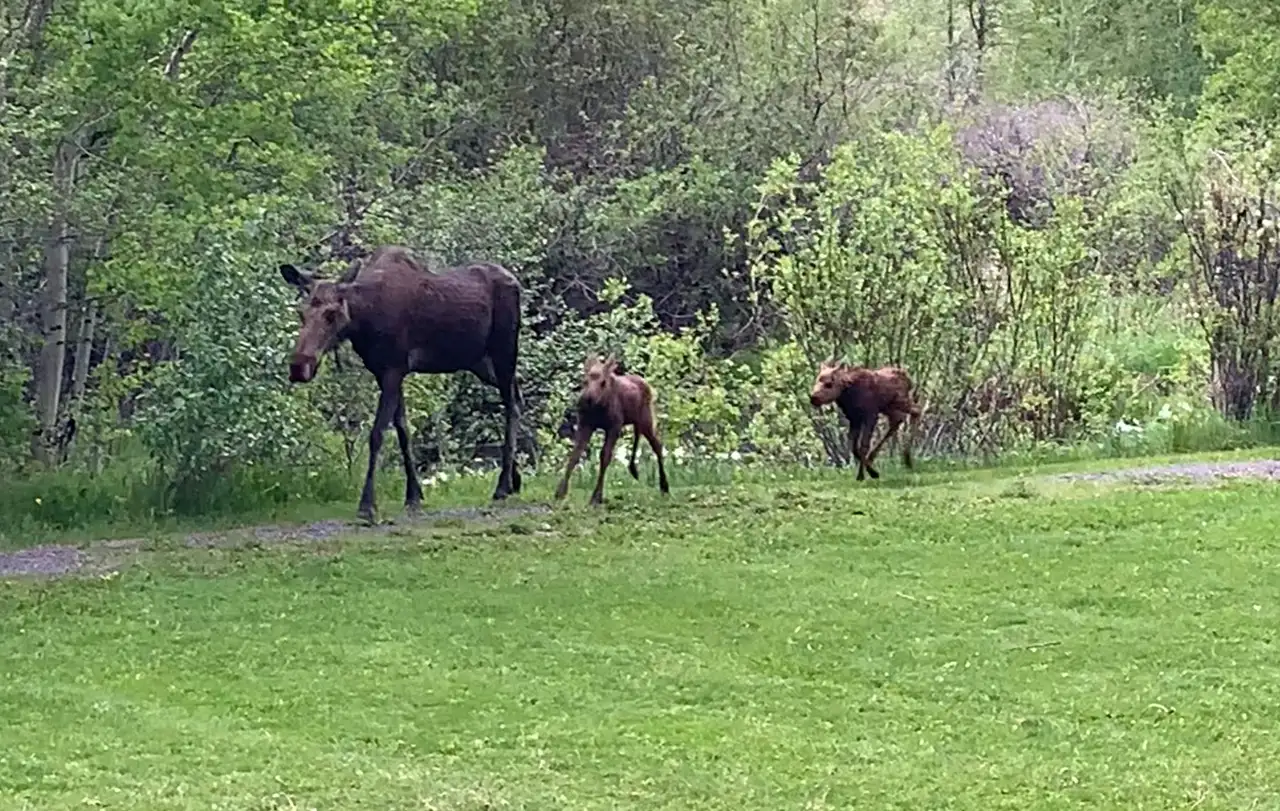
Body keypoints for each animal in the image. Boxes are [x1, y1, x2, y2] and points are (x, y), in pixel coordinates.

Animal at [281, 243, 524, 521]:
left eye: (331, 314)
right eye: (301, 313)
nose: (299, 367)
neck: (363, 322)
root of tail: (516, 282)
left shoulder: (393, 369)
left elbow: (377, 434)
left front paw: (367, 504)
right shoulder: (385, 373)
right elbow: (403, 431)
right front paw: (414, 495)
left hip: (504, 350)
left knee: (511, 405)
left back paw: (502, 486)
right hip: (479, 362)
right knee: (517, 397)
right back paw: (515, 480)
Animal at [555, 355, 675, 501]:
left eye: (603, 382)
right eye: (584, 381)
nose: (585, 400)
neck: (598, 408)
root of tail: (649, 386)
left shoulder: (614, 426)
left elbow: (605, 456)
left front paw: (597, 497)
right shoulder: (585, 424)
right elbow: (575, 454)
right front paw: (561, 492)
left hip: (646, 419)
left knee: (657, 445)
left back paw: (664, 486)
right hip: (636, 421)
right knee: (639, 437)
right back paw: (634, 470)